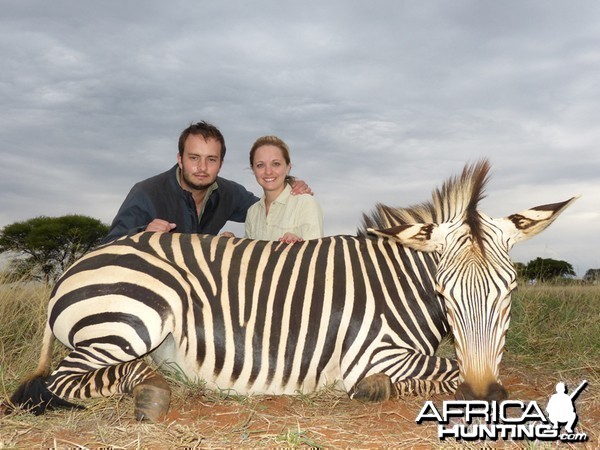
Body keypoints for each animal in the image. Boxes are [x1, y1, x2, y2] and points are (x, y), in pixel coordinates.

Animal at [5, 160, 576, 420]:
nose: (485, 397)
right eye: (443, 292)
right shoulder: (374, 353)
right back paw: (148, 389)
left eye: (512, 290)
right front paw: (377, 388)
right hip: (136, 316)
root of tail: (75, 265)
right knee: (61, 380)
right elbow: (445, 368)